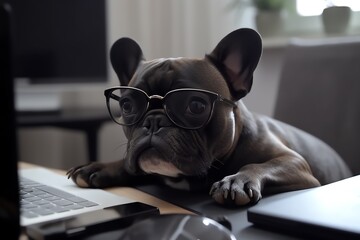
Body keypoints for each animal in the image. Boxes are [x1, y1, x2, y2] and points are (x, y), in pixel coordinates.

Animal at [67, 27, 352, 205]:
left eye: (196, 106)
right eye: (127, 106)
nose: (153, 121)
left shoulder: (294, 163)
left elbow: (258, 165)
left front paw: (236, 181)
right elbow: (130, 167)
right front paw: (100, 166)